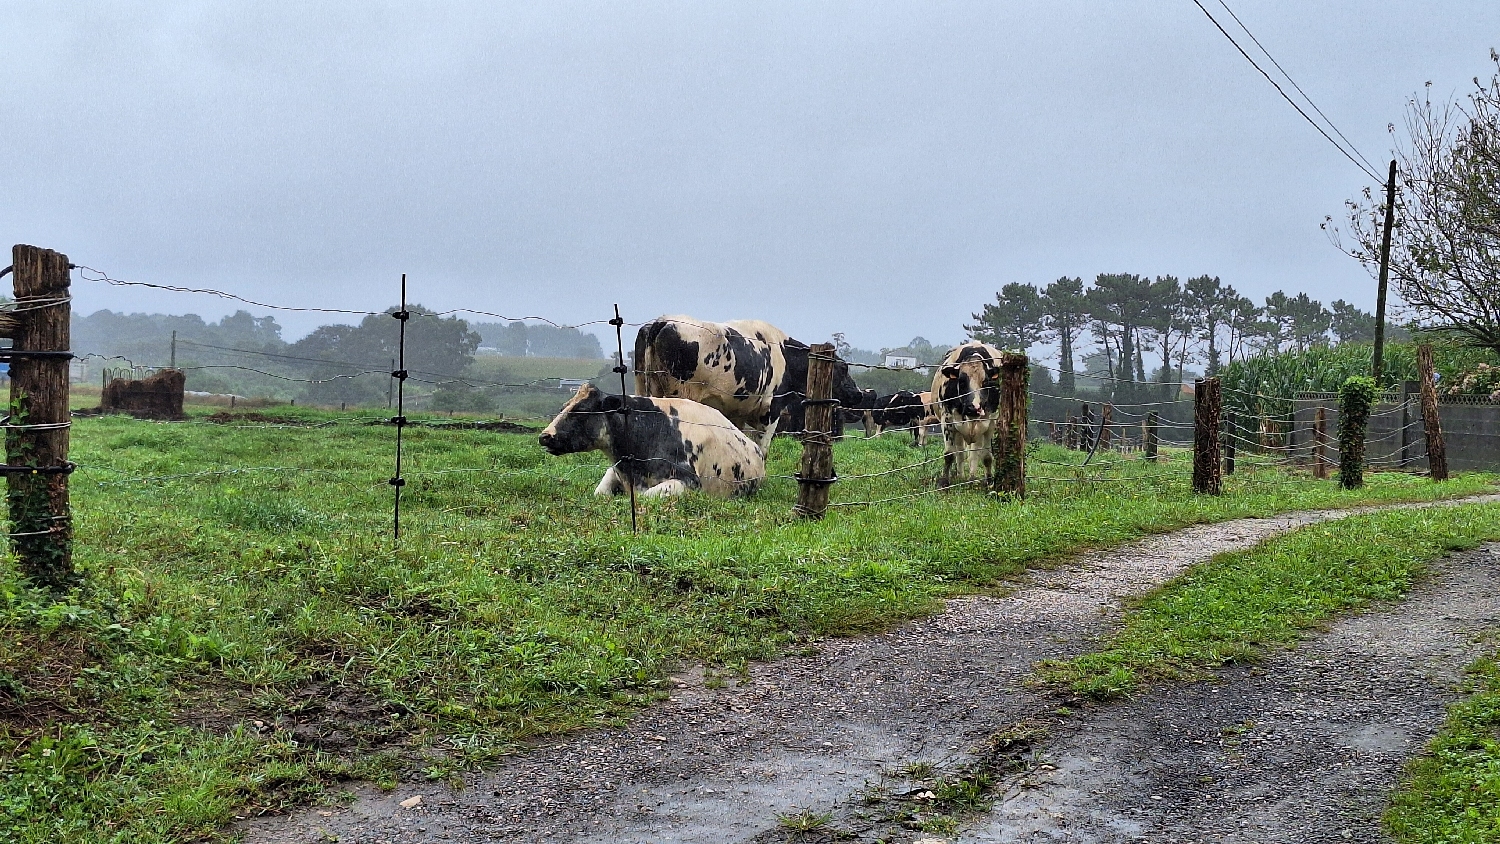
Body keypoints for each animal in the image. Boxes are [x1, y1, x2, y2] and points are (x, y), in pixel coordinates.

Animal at [543, 383, 768, 497]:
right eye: (563, 407)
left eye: (581, 410)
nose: (544, 436)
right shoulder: (614, 471)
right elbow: (600, 493)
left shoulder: (688, 482)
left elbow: (646, 497)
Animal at [636, 317, 870, 449]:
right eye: (843, 368)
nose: (858, 393)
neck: (785, 354)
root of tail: (663, 321)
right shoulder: (771, 409)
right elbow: (762, 447)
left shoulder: (737, 412)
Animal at [930, 343, 1002, 488]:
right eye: (962, 382)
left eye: (985, 382)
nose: (973, 408)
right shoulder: (947, 420)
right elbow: (949, 454)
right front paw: (944, 482)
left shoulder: (991, 423)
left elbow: (986, 456)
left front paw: (989, 482)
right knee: (960, 452)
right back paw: (961, 476)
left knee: (974, 452)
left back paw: (972, 478)